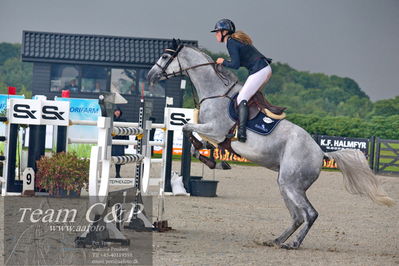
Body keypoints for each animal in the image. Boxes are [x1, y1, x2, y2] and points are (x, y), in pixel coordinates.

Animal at [146, 40, 394, 249]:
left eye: (165, 56)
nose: (151, 75)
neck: (215, 93)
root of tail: (321, 152)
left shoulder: (214, 129)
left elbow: (187, 130)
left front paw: (211, 159)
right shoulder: (214, 133)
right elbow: (193, 143)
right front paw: (214, 160)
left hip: (291, 184)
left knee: (310, 214)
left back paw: (292, 244)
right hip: (285, 184)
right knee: (297, 216)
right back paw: (275, 240)